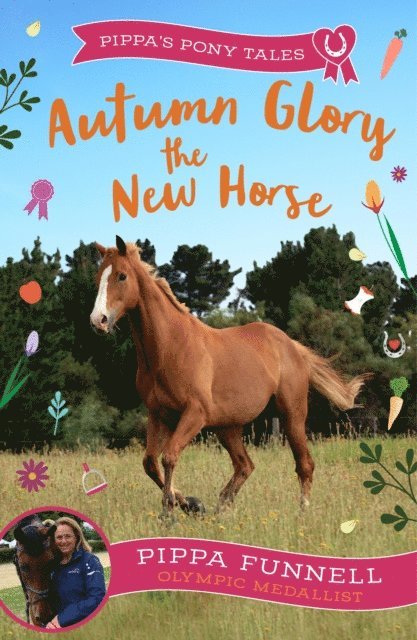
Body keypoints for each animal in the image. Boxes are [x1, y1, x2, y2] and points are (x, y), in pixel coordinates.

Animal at [90, 236, 367, 515]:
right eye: (98, 277)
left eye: (122, 276)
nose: (98, 320)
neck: (169, 347)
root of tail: (292, 346)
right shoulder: (159, 415)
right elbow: (150, 462)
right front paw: (189, 504)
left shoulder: (195, 414)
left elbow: (169, 457)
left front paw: (170, 511)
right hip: (228, 427)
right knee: (245, 465)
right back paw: (220, 507)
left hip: (292, 416)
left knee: (304, 464)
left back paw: (302, 511)